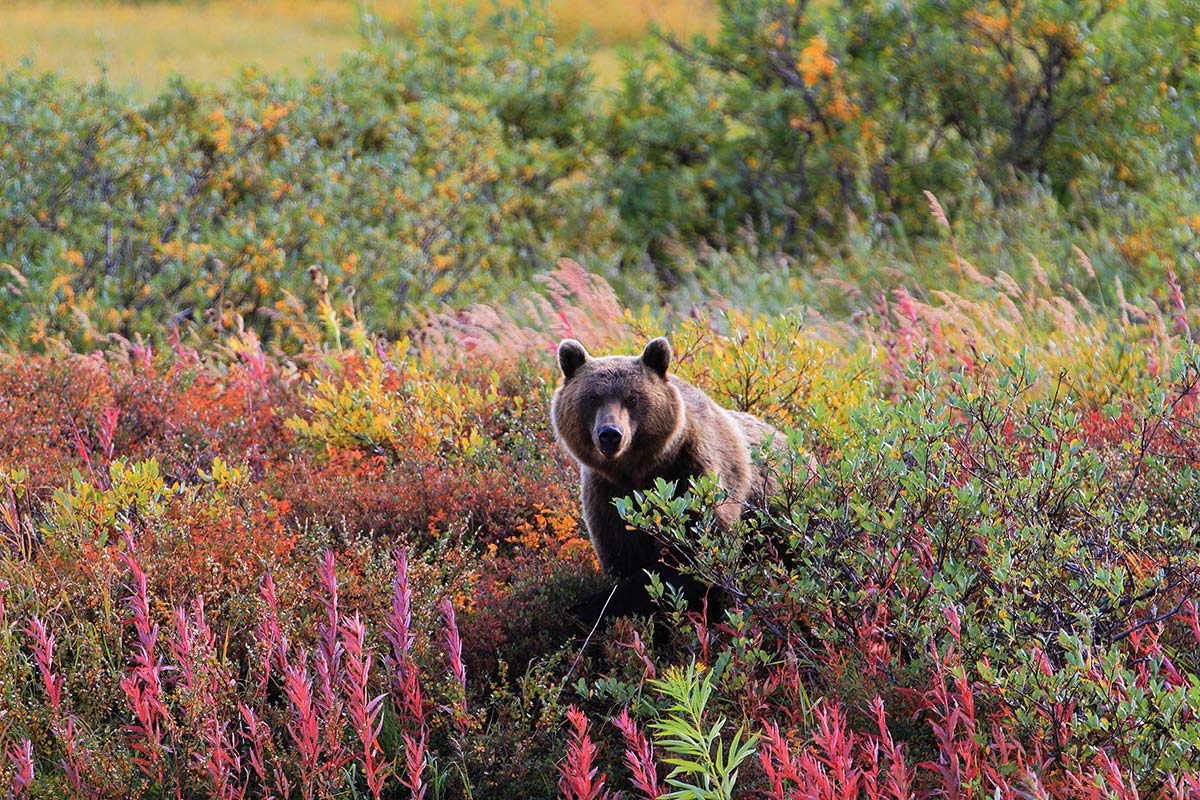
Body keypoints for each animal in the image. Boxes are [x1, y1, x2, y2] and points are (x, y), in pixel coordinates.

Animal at [552, 335, 796, 599]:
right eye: (593, 398)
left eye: (632, 398)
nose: (610, 434)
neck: (638, 470)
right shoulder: (608, 495)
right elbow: (621, 552)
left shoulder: (691, 477)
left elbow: (693, 554)